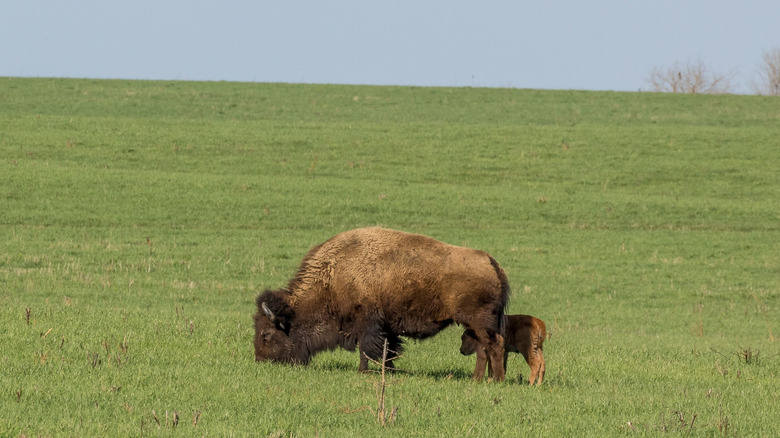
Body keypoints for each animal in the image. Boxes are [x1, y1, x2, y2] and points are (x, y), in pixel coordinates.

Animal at [254, 227, 510, 381]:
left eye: (266, 334)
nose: (260, 361)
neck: (333, 275)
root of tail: (492, 263)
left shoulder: (367, 323)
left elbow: (367, 349)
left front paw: (363, 372)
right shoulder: (386, 327)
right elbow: (389, 350)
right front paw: (390, 372)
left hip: (480, 322)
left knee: (495, 345)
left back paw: (496, 380)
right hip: (474, 325)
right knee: (482, 349)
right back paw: (478, 379)